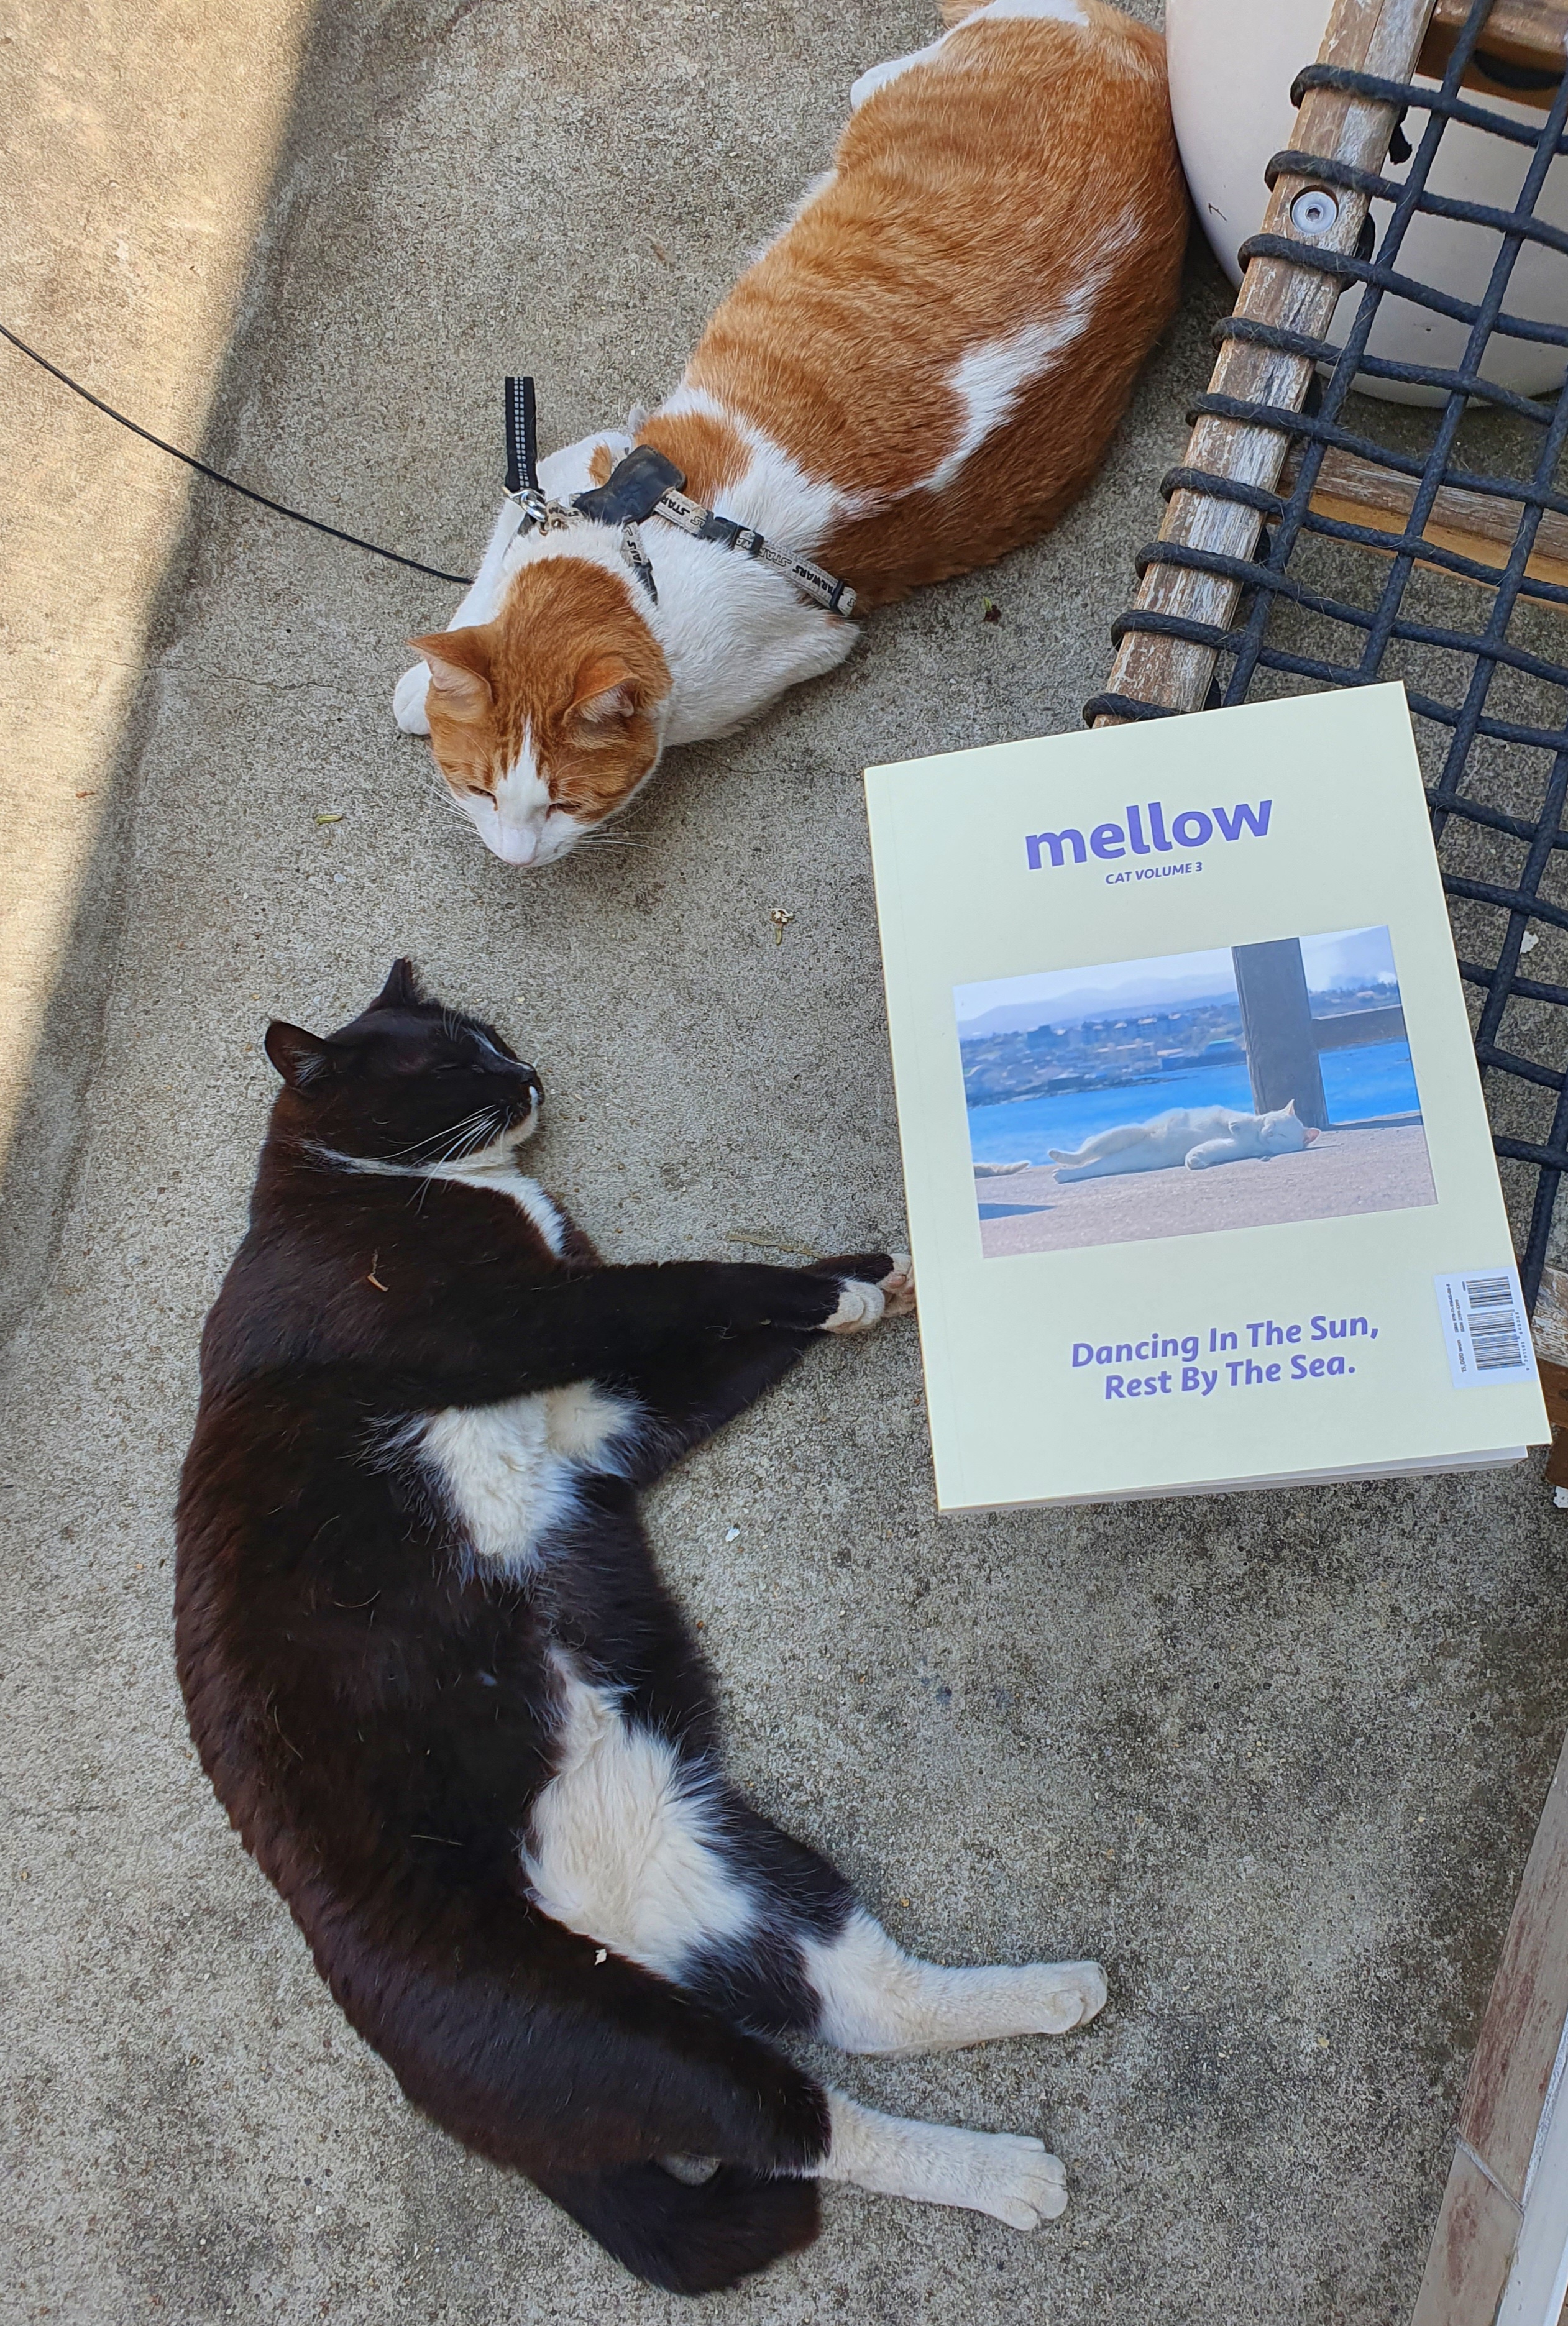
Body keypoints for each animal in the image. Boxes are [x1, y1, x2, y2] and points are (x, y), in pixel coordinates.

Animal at [176, 960, 1107, 2295]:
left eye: (491, 1037)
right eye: (449, 1064)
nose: (524, 1076)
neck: (378, 1184)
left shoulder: (604, 1419)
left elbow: (717, 1331)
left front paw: (875, 1276)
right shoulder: (516, 1320)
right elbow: (692, 1283)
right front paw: (840, 1284)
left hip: (723, 1864)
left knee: (863, 2003)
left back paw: (1050, 1994)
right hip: (604, 2028)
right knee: (798, 2124)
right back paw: (1008, 2173)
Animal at [392, 0, 1185, 867]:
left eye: (566, 803)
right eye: (479, 789)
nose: (515, 856)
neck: (642, 567)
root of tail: (1132, 39)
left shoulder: (799, 644)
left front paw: (413, 693)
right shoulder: (561, 474)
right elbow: (484, 590)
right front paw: (426, 682)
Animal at [1049, 1100, 1321, 1181]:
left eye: (1283, 1136)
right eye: (1272, 1125)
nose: (1269, 1134)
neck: (1255, 1138)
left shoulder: (1232, 1148)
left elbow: (1207, 1149)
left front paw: (1195, 1161)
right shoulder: (1225, 1115)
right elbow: (1232, 1121)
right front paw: (1236, 1126)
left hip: (1124, 1159)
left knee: (1093, 1167)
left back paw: (1064, 1175)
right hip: (1127, 1134)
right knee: (1086, 1151)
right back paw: (1059, 1157)